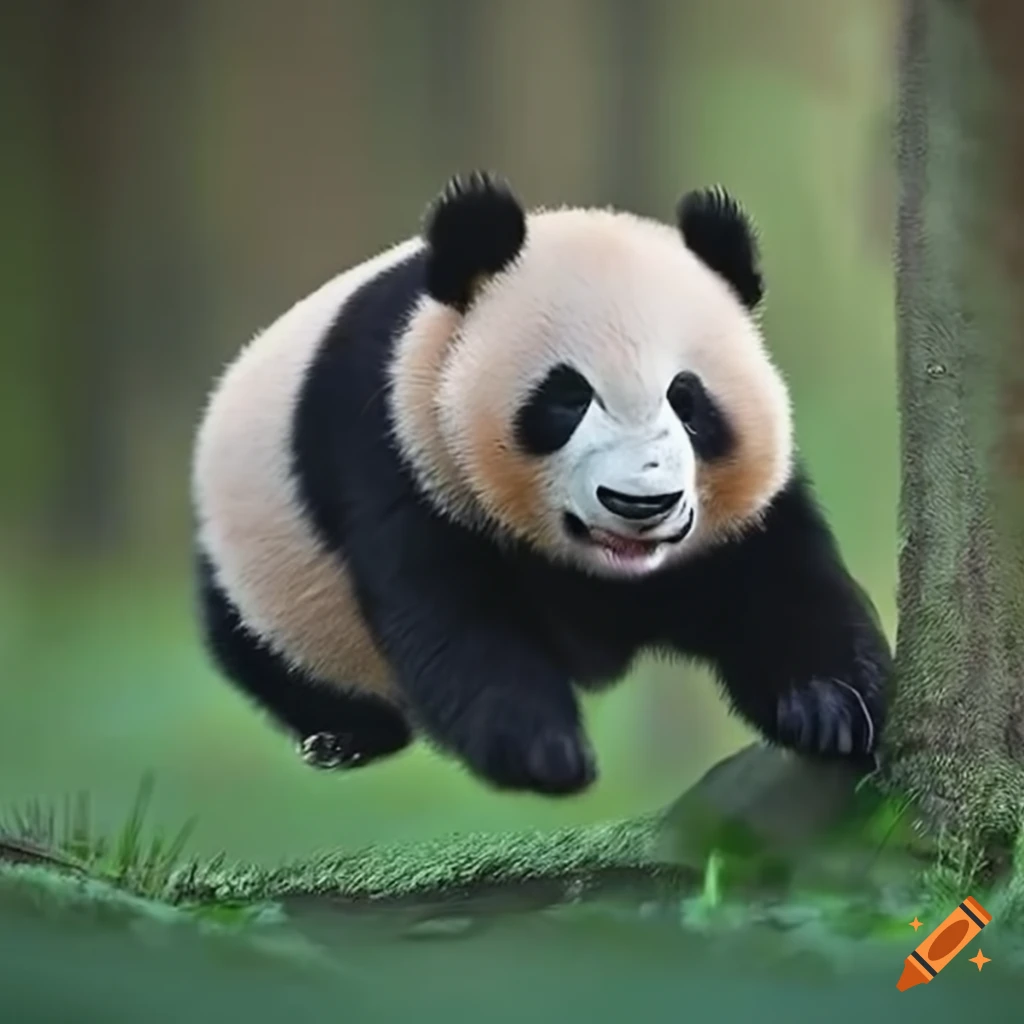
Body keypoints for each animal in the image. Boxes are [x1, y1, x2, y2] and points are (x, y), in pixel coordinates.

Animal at [191, 170, 891, 797]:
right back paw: (345, 734)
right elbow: (454, 620)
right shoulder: (396, 445)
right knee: (263, 654)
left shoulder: (744, 516)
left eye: (687, 400)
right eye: (567, 398)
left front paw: (831, 709)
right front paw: (546, 753)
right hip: (267, 579)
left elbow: (783, 584)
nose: (641, 502)